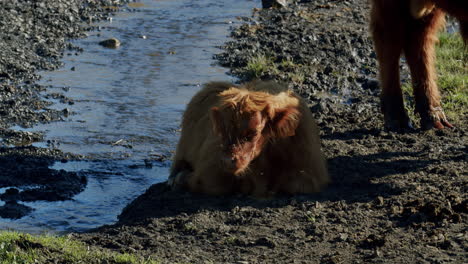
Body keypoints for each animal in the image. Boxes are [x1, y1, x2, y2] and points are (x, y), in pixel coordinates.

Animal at [169, 81, 330, 197]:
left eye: (254, 132)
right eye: (222, 131)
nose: (227, 160)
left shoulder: (310, 175)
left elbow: (296, 185)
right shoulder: (210, 168)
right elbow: (214, 184)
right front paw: (181, 178)